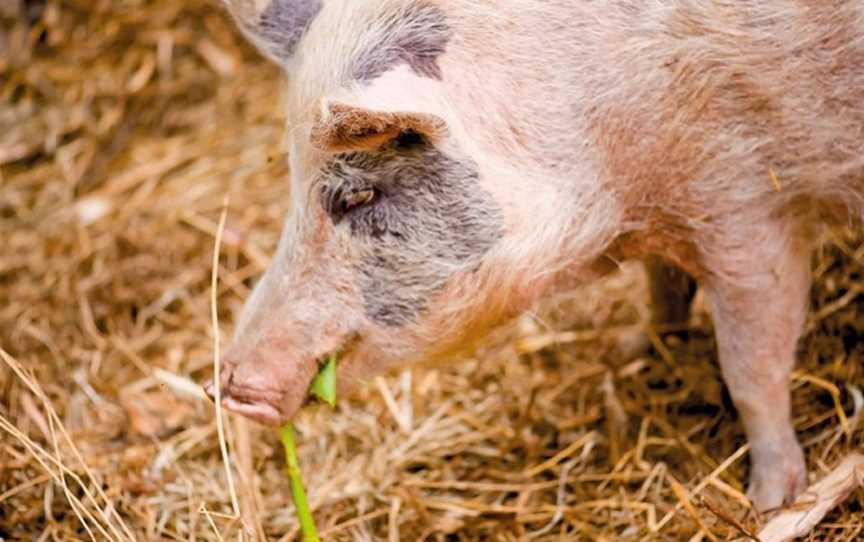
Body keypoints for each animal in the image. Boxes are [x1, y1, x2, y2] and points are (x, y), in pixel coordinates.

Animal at [208, 0, 864, 516]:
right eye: (293, 180)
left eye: (356, 196)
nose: (226, 386)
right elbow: (664, 287)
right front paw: (633, 348)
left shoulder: (747, 208)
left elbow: (752, 370)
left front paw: (770, 502)